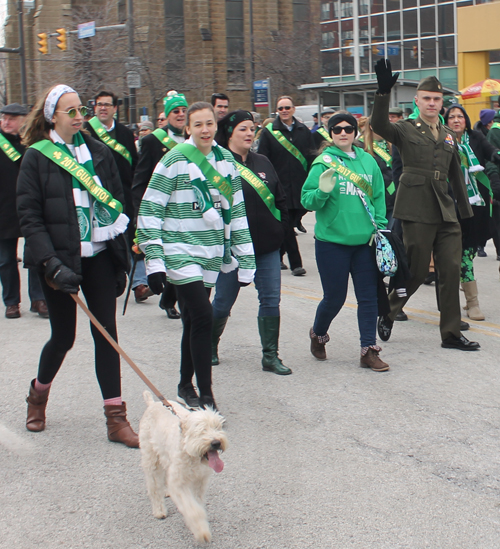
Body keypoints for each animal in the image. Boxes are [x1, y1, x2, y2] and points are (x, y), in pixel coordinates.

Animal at [139, 392, 229, 540]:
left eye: (217, 427)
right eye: (201, 430)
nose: (216, 442)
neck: (192, 455)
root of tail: (152, 404)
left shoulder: (200, 481)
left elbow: (197, 503)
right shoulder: (180, 483)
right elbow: (193, 509)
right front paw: (201, 531)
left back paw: (166, 491)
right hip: (151, 459)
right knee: (154, 487)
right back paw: (159, 510)